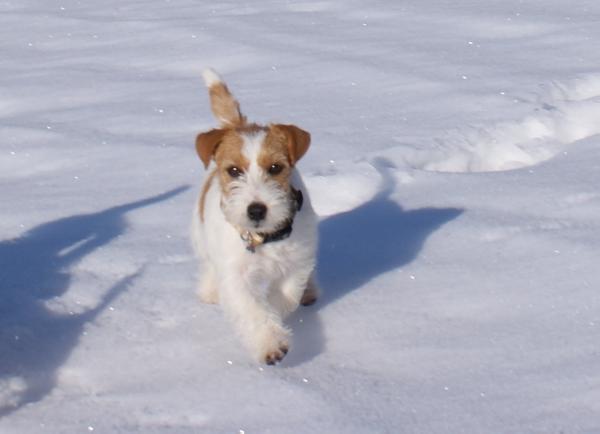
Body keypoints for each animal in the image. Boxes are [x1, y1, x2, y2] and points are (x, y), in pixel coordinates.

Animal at [193, 69, 322, 364]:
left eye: (275, 168)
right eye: (234, 170)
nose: (256, 210)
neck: (263, 238)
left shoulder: (295, 264)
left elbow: (285, 297)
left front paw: (276, 313)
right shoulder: (234, 274)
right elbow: (252, 309)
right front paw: (270, 343)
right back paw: (209, 291)